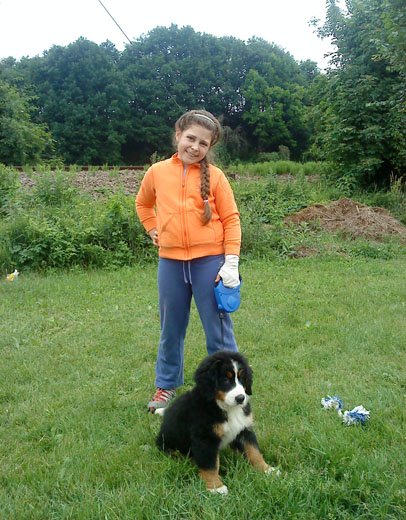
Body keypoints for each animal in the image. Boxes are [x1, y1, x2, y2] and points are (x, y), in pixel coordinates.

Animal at [155, 351, 279, 494]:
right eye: (225, 379)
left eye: (242, 378)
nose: (240, 398)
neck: (225, 407)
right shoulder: (205, 437)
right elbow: (210, 465)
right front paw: (216, 487)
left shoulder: (244, 429)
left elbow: (254, 452)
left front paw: (267, 470)